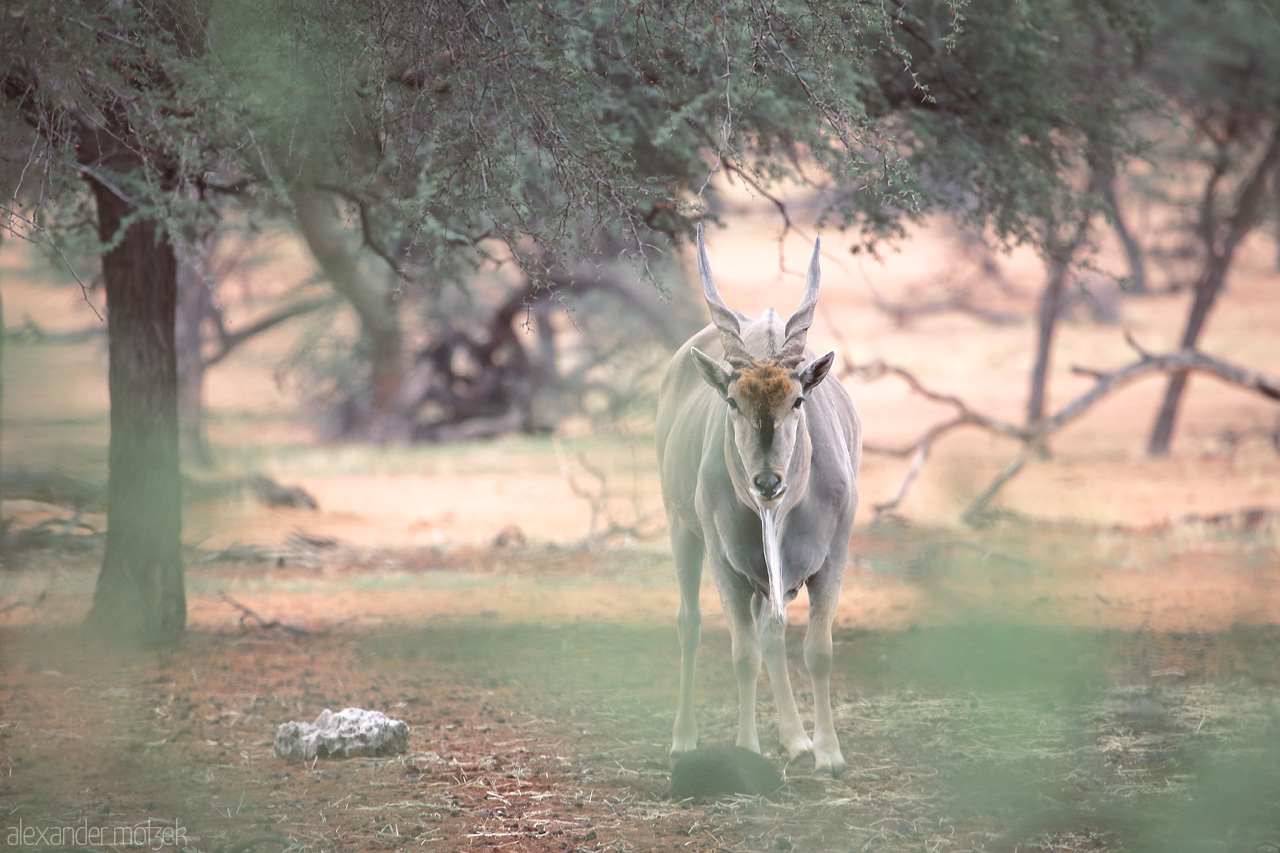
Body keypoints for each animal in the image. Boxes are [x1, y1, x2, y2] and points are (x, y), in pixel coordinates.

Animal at [660, 222, 860, 773]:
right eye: (733, 400)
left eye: (798, 399)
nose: (767, 483)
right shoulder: (725, 562)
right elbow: (741, 654)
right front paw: (747, 752)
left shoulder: (833, 558)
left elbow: (818, 650)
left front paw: (828, 753)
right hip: (681, 529)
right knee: (689, 622)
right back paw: (683, 738)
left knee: (771, 633)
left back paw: (796, 738)